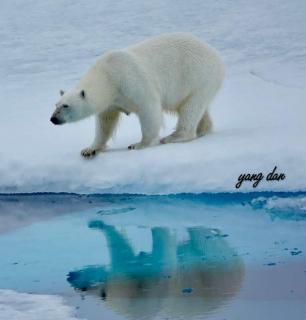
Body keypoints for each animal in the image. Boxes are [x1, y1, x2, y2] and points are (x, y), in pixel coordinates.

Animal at [50, 32, 225, 158]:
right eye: (56, 104)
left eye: (66, 106)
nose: (53, 119)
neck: (108, 75)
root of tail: (216, 54)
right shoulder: (112, 100)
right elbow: (105, 122)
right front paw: (89, 149)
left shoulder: (130, 80)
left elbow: (149, 108)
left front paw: (139, 144)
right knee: (196, 108)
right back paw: (203, 129)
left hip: (197, 75)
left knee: (190, 108)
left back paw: (174, 136)